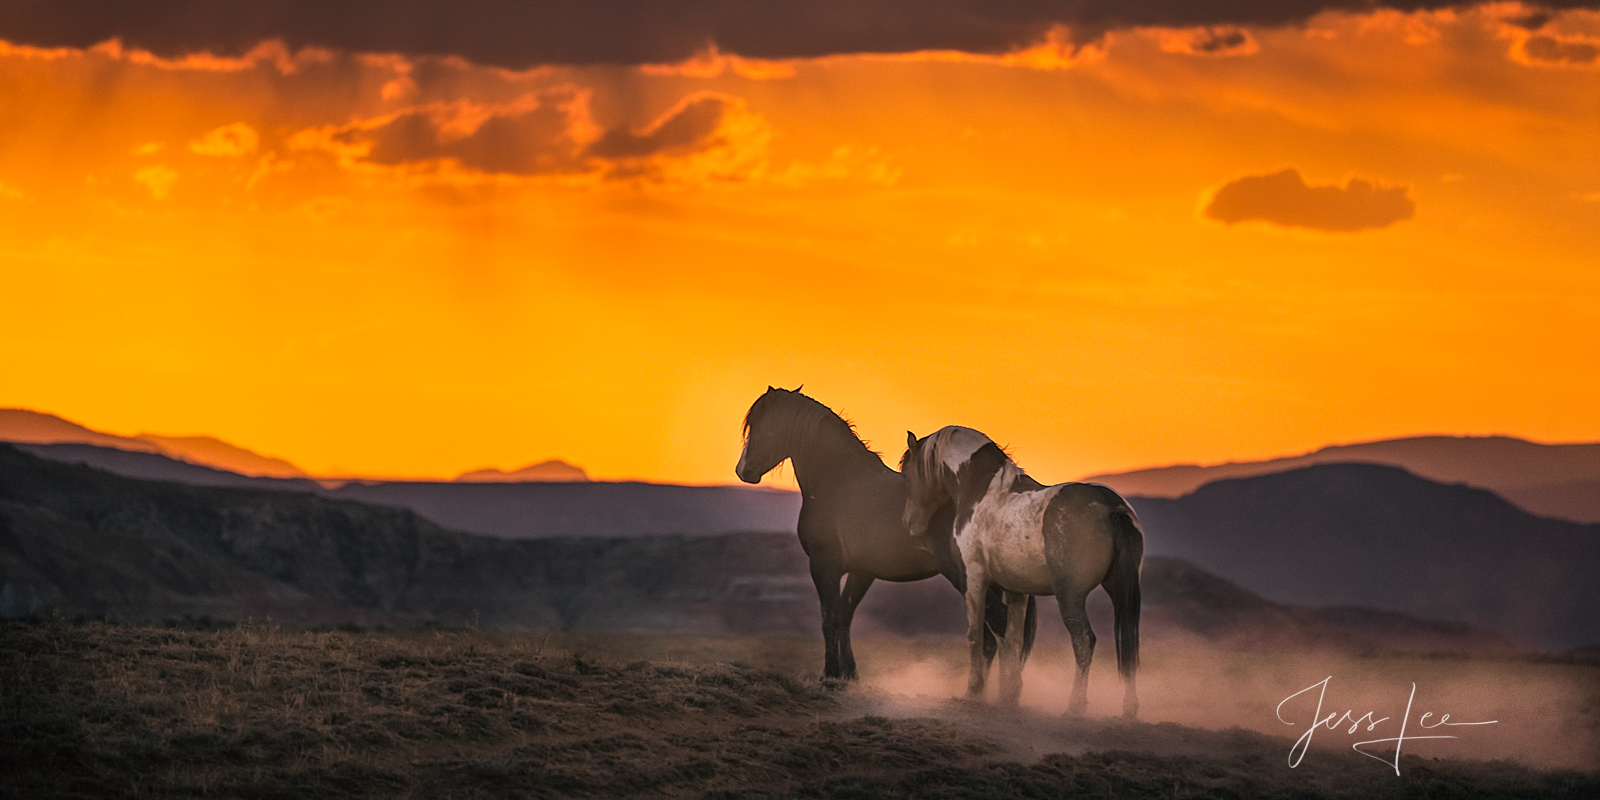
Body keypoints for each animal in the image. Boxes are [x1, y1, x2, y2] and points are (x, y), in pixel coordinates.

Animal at [736, 387, 1036, 681]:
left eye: (759, 426)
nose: (742, 471)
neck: (838, 482)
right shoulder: (862, 571)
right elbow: (844, 616)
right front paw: (849, 675)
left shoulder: (824, 565)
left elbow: (829, 617)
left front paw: (829, 675)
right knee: (995, 637)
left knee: (998, 628)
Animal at [902, 428, 1139, 716]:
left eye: (907, 474)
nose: (910, 523)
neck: (982, 491)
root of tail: (1111, 508)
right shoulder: (1017, 589)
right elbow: (1013, 639)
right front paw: (1009, 695)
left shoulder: (974, 579)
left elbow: (975, 635)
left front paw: (974, 691)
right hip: (1119, 591)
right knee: (1128, 641)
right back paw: (1129, 709)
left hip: (1070, 596)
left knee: (1084, 640)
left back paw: (1076, 706)